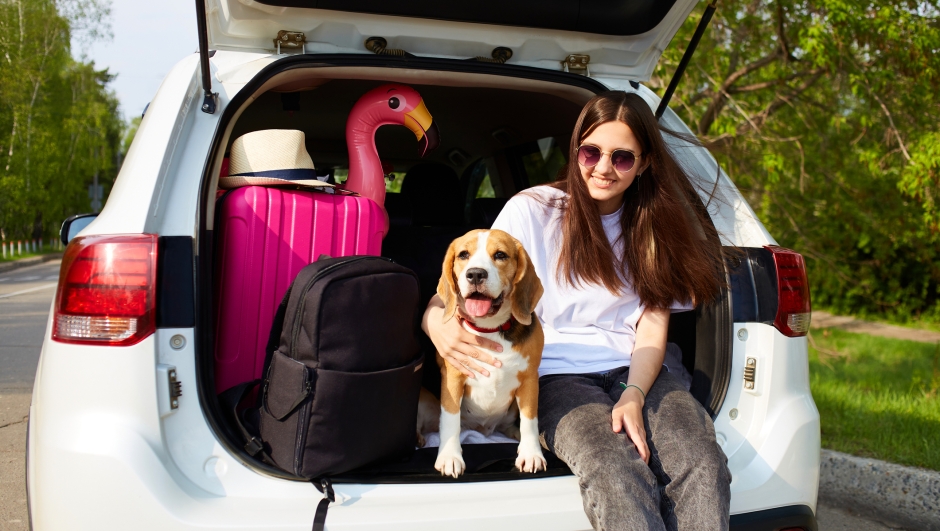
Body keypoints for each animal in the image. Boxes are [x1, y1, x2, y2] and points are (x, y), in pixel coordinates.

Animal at [416, 229, 548, 478]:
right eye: (463, 254)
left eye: (500, 255)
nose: (476, 274)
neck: (491, 328)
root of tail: (483, 430)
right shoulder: (453, 378)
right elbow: (450, 419)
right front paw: (449, 457)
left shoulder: (529, 379)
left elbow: (530, 420)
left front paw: (531, 453)